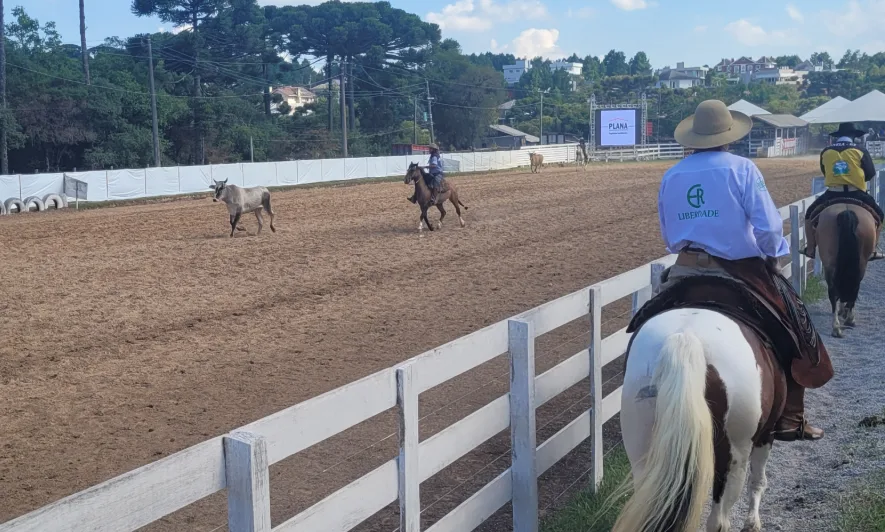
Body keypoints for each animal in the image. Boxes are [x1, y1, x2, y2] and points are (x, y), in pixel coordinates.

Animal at [612, 308, 784, 532]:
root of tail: (686, 337)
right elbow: (758, 481)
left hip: (640, 453)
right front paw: (752, 523)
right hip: (734, 457)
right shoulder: (767, 434)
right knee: (719, 521)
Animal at [816, 204, 876, 336]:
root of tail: (847, 212)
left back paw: (836, 327)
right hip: (860, 265)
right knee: (851, 288)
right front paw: (845, 311)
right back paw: (848, 320)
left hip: (831, 266)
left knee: (835, 291)